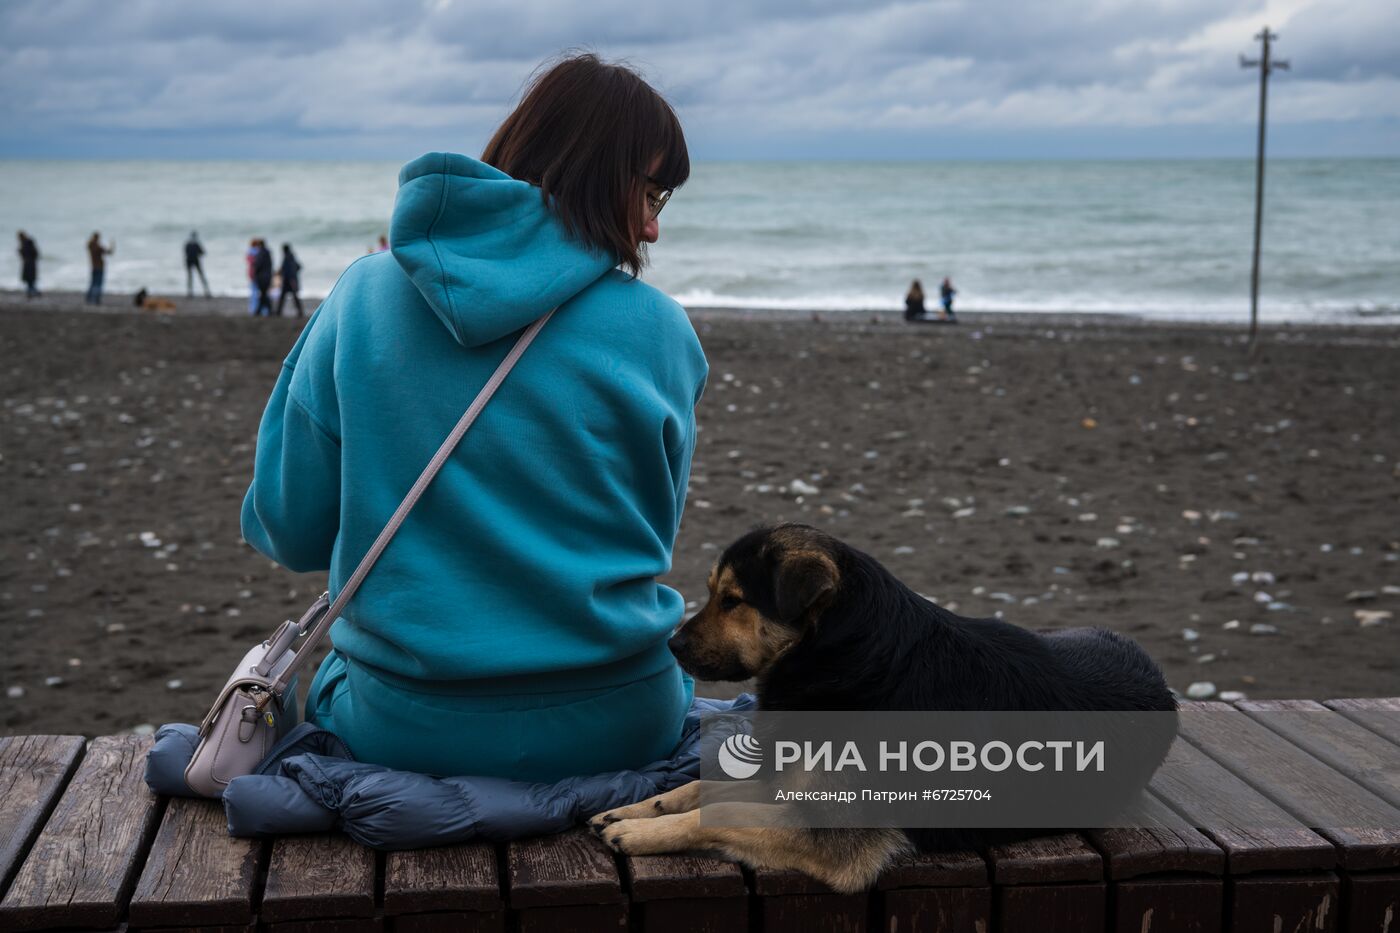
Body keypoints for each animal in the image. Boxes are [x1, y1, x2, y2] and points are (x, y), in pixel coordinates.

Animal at [585, 518, 1176, 890]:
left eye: (732, 600)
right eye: (714, 593)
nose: (672, 646)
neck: (845, 655)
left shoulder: (838, 837)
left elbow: (721, 809)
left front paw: (638, 832)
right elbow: (700, 786)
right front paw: (641, 808)